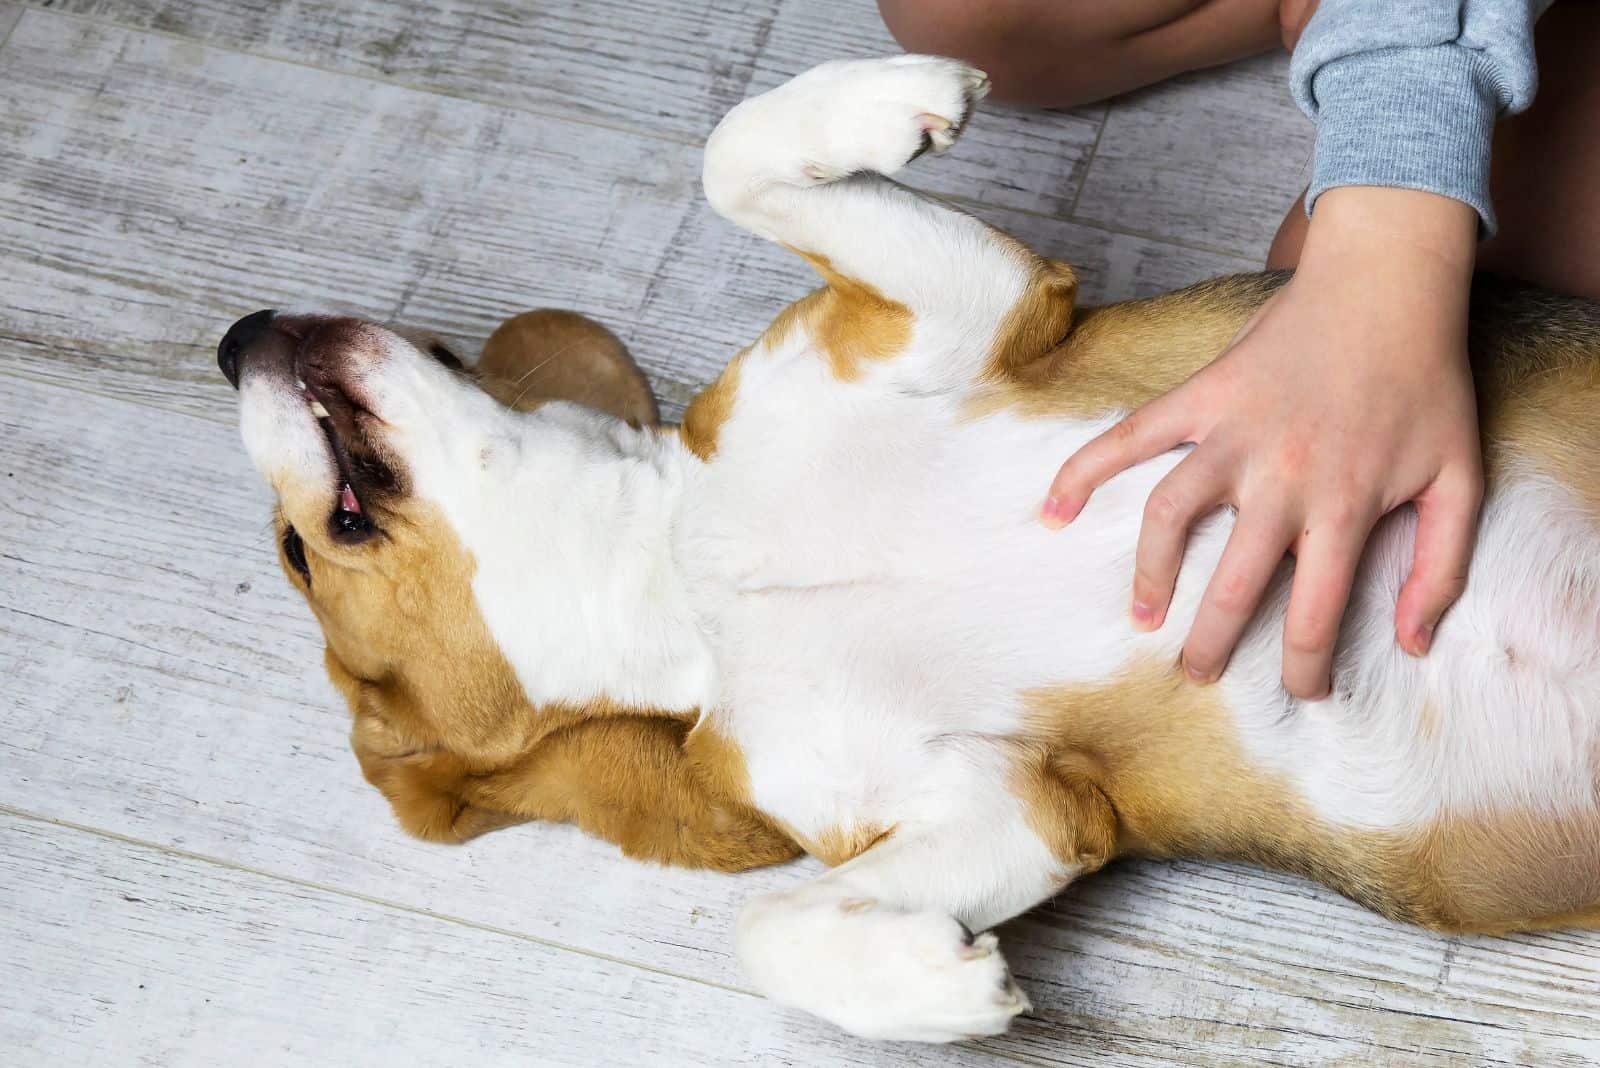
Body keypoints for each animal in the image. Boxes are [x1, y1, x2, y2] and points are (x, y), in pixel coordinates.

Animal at [222, 58, 1600, 1042]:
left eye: (445, 348)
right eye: (295, 551)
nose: (239, 335)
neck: (695, 578)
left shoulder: (973, 313)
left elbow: (729, 153)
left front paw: (888, 98)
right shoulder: (1014, 801)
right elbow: (768, 929)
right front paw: (932, 987)